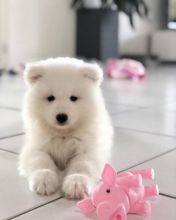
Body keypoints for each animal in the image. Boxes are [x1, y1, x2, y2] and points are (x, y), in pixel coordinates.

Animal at [18, 57, 113, 199]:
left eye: (73, 98)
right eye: (50, 98)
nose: (61, 116)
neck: (63, 134)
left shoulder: (88, 150)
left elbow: (82, 165)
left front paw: (76, 184)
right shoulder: (36, 147)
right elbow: (41, 161)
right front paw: (44, 180)